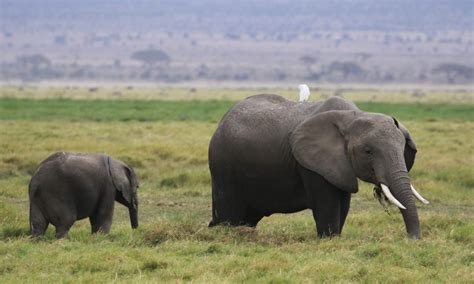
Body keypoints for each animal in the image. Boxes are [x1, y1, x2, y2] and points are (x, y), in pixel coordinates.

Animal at [209, 94, 428, 239]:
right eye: (368, 151)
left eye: (402, 149)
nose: (411, 239)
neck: (353, 116)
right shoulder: (311, 163)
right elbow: (328, 204)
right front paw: (328, 239)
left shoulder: (339, 164)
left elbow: (343, 204)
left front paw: (335, 238)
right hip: (223, 165)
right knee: (229, 214)